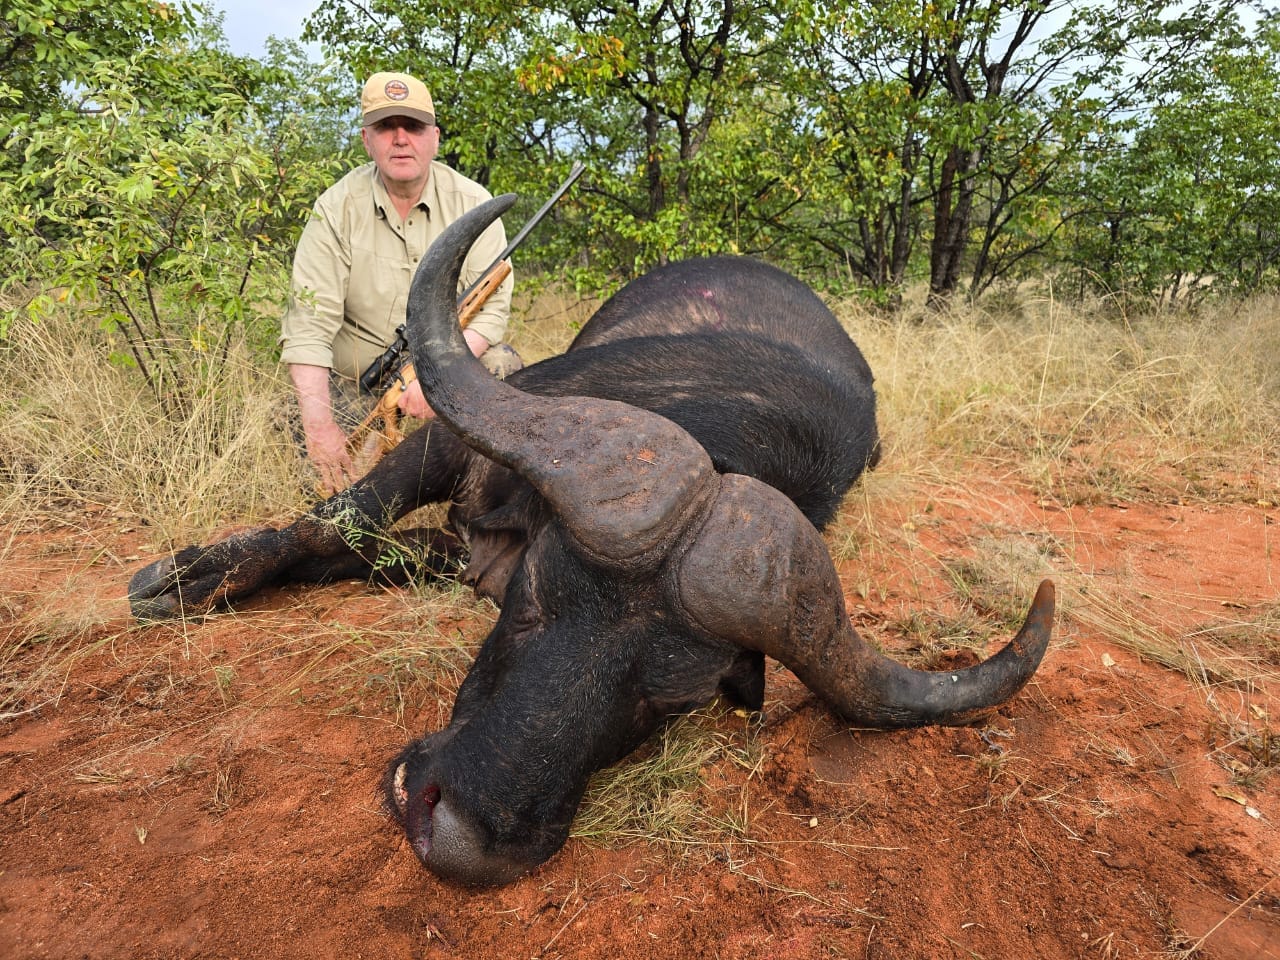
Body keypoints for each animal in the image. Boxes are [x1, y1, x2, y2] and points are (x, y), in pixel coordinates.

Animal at [129, 195, 1054, 887]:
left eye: (672, 701)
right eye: (534, 599)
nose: (462, 840)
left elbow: (387, 547)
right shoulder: (452, 441)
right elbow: (343, 516)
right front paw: (191, 576)